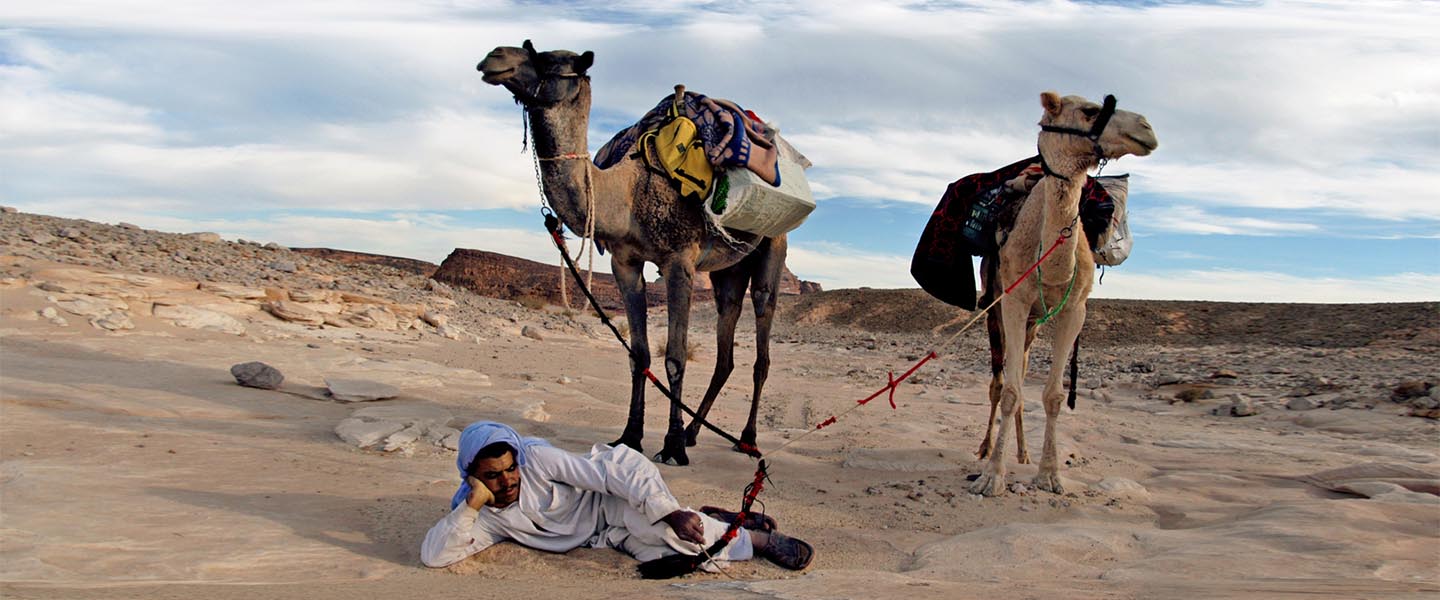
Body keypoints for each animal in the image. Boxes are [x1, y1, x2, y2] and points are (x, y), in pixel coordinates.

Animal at [477, 41, 791, 466]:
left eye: (547, 60)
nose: (493, 57)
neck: (626, 193)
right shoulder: (624, 262)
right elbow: (638, 355)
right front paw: (630, 436)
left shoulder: (679, 262)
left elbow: (675, 356)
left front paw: (671, 446)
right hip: (729, 270)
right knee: (726, 346)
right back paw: (695, 433)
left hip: (774, 246)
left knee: (762, 341)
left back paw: (746, 438)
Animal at [969, 92, 1157, 496]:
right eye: (1089, 110)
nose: (1147, 128)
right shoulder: (1013, 301)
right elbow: (1010, 391)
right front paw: (992, 477)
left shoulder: (1074, 309)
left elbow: (1053, 395)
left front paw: (1050, 475)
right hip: (996, 310)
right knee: (999, 382)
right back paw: (987, 448)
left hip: (1034, 324)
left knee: (1022, 369)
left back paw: (1023, 453)